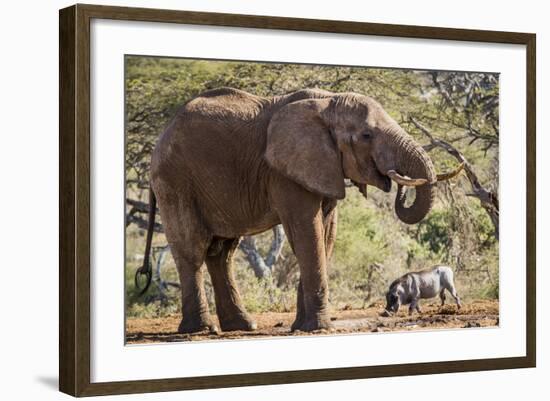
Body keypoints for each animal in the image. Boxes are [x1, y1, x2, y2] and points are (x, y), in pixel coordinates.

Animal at [136, 86, 464, 332]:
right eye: (366, 136)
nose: (397, 181)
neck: (327, 101)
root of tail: (161, 137)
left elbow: (326, 233)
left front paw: (301, 327)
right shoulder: (283, 171)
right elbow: (307, 230)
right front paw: (319, 328)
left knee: (222, 253)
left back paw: (243, 326)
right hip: (175, 180)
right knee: (193, 249)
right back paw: (203, 330)